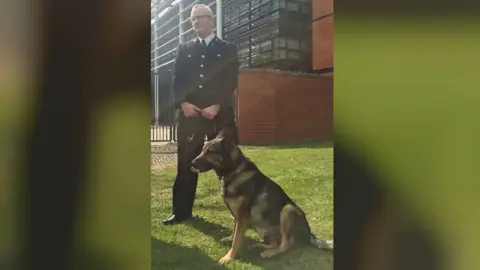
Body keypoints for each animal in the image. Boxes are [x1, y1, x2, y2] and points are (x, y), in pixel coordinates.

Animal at [191, 128, 334, 264]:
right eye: (203, 150)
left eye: (210, 151)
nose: (192, 163)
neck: (234, 171)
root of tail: (310, 235)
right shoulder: (237, 215)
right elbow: (235, 231)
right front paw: (229, 239)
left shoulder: (242, 215)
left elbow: (237, 239)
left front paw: (229, 257)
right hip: (262, 229)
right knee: (276, 242)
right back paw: (260, 246)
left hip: (288, 210)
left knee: (285, 245)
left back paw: (269, 253)